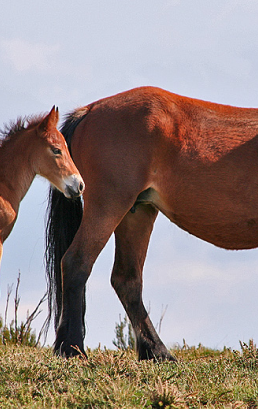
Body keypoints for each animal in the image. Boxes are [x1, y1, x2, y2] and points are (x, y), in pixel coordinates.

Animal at [46, 86, 258, 360]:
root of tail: (90, 110)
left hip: (136, 213)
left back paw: (155, 351)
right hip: (109, 204)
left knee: (127, 279)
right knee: (77, 263)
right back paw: (72, 348)